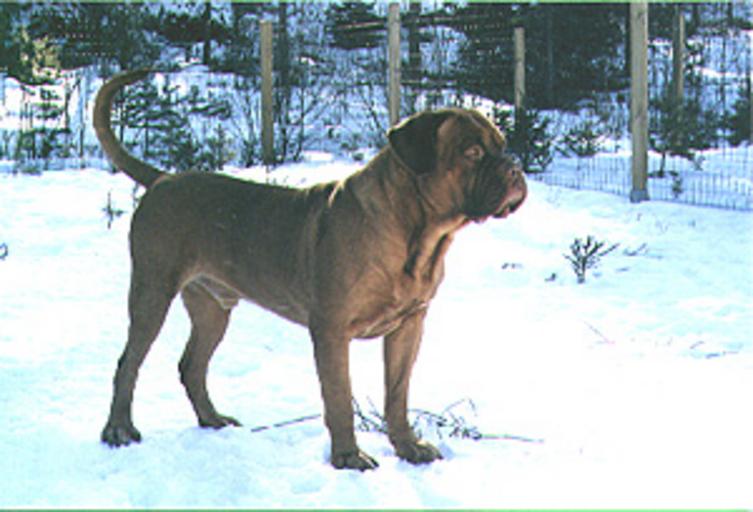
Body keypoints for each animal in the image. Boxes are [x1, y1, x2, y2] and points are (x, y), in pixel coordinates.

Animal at [94, 70, 526, 470]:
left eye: (502, 147)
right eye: (472, 151)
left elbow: (397, 394)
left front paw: (407, 447)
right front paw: (348, 457)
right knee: (128, 363)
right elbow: (339, 400)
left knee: (192, 365)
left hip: (212, 309)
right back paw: (118, 430)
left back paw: (211, 419)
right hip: (152, 292)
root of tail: (164, 179)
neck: (416, 235)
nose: (514, 167)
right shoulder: (332, 331)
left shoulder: (409, 327)